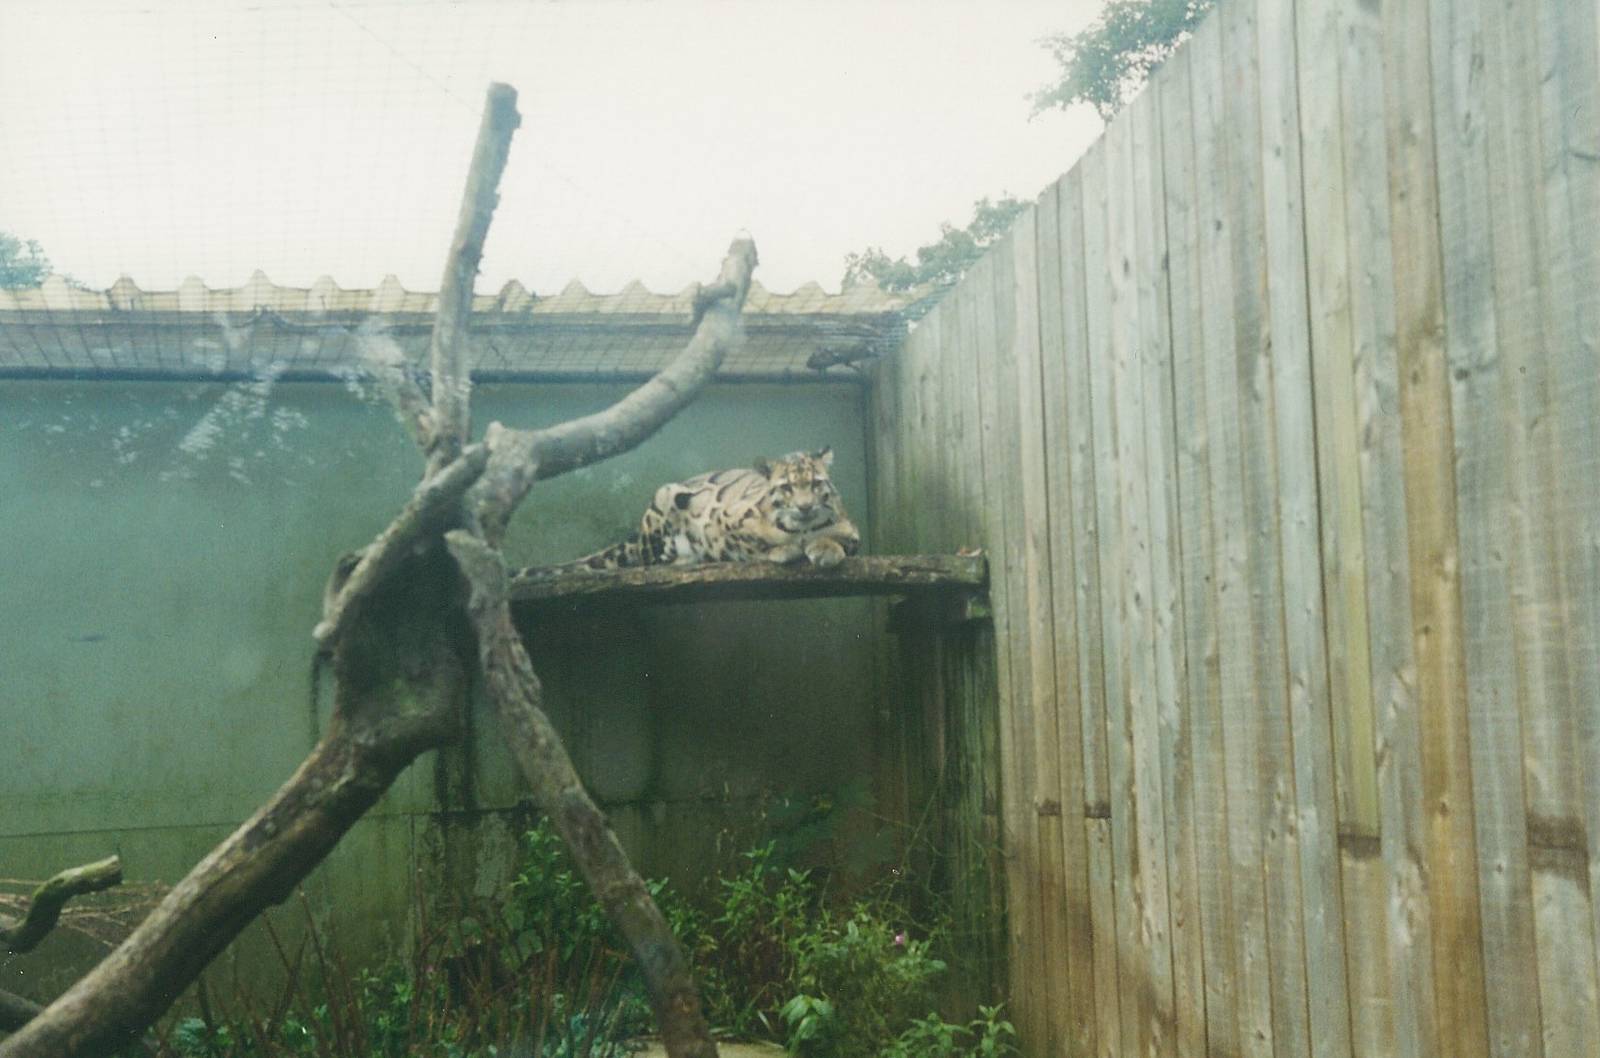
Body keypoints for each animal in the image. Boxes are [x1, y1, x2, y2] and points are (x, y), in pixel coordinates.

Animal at [535, 447, 861, 575]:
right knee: (649, 560)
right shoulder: (724, 523)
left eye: (816, 483)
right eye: (787, 488)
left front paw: (825, 548)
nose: (805, 506)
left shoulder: (852, 531)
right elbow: (754, 543)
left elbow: (842, 539)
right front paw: (785, 548)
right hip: (664, 496)